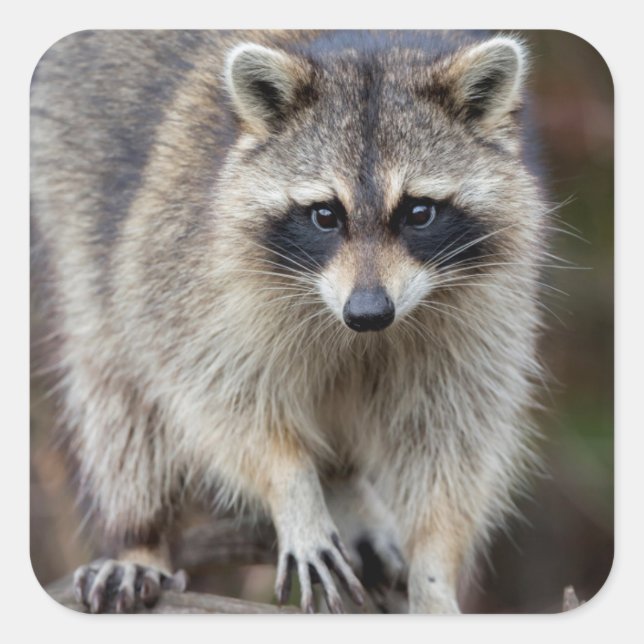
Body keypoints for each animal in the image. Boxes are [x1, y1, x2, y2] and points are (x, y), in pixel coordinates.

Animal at [31, 30, 546, 613]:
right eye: (325, 215)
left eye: (419, 212)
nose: (368, 313)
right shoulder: (189, 270)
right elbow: (222, 401)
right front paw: (293, 486)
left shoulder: (483, 309)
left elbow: (451, 440)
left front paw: (434, 571)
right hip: (75, 192)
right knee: (116, 386)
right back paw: (140, 535)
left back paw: (343, 483)